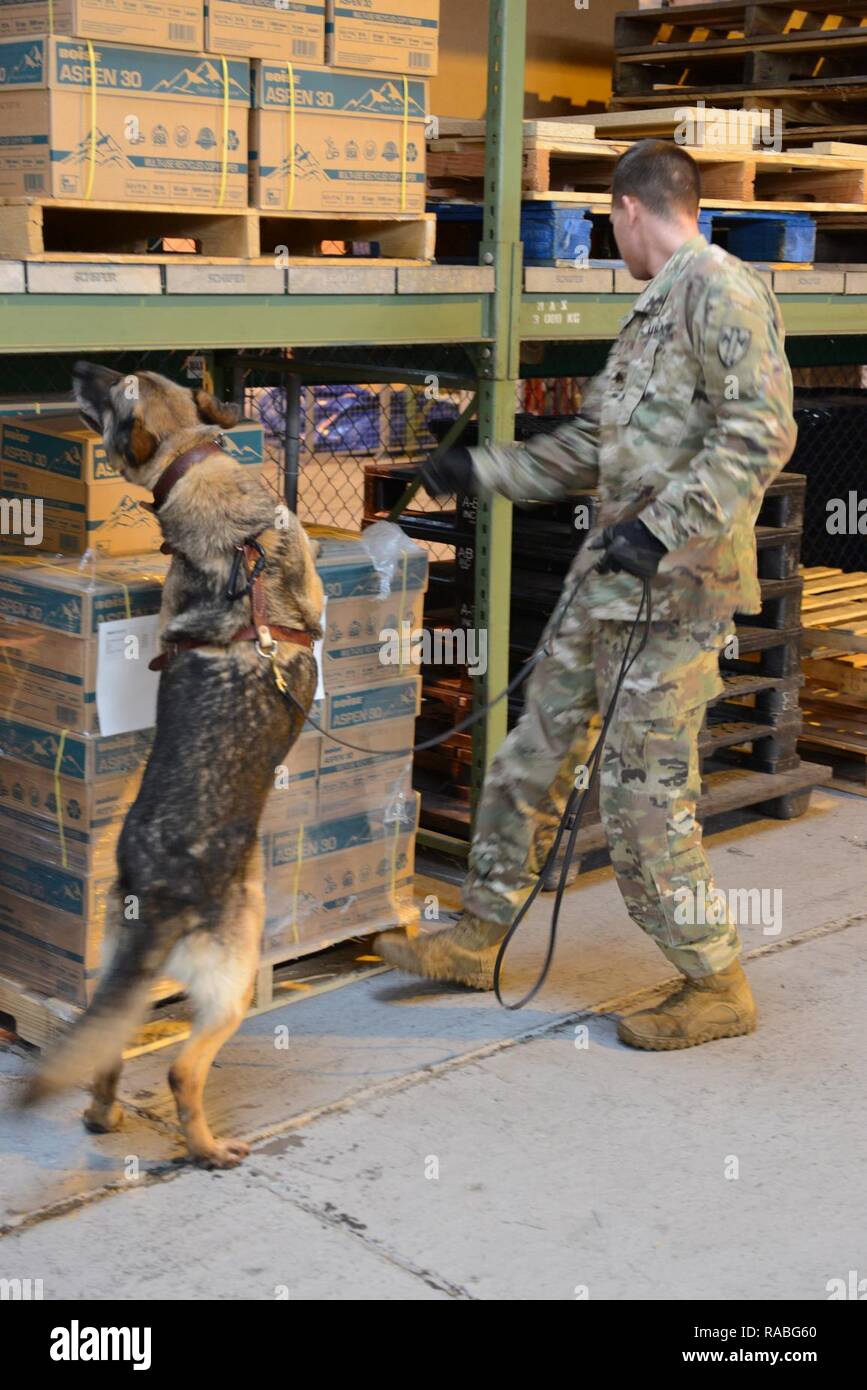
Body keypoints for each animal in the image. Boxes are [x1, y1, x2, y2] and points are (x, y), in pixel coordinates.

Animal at [21, 364, 325, 1167]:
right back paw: (209, 1148)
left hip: (120, 962)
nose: (77, 368)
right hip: (236, 973)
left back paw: (102, 1116)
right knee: (184, 1068)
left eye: (127, 381)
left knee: (108, 1049)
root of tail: (160, 893)